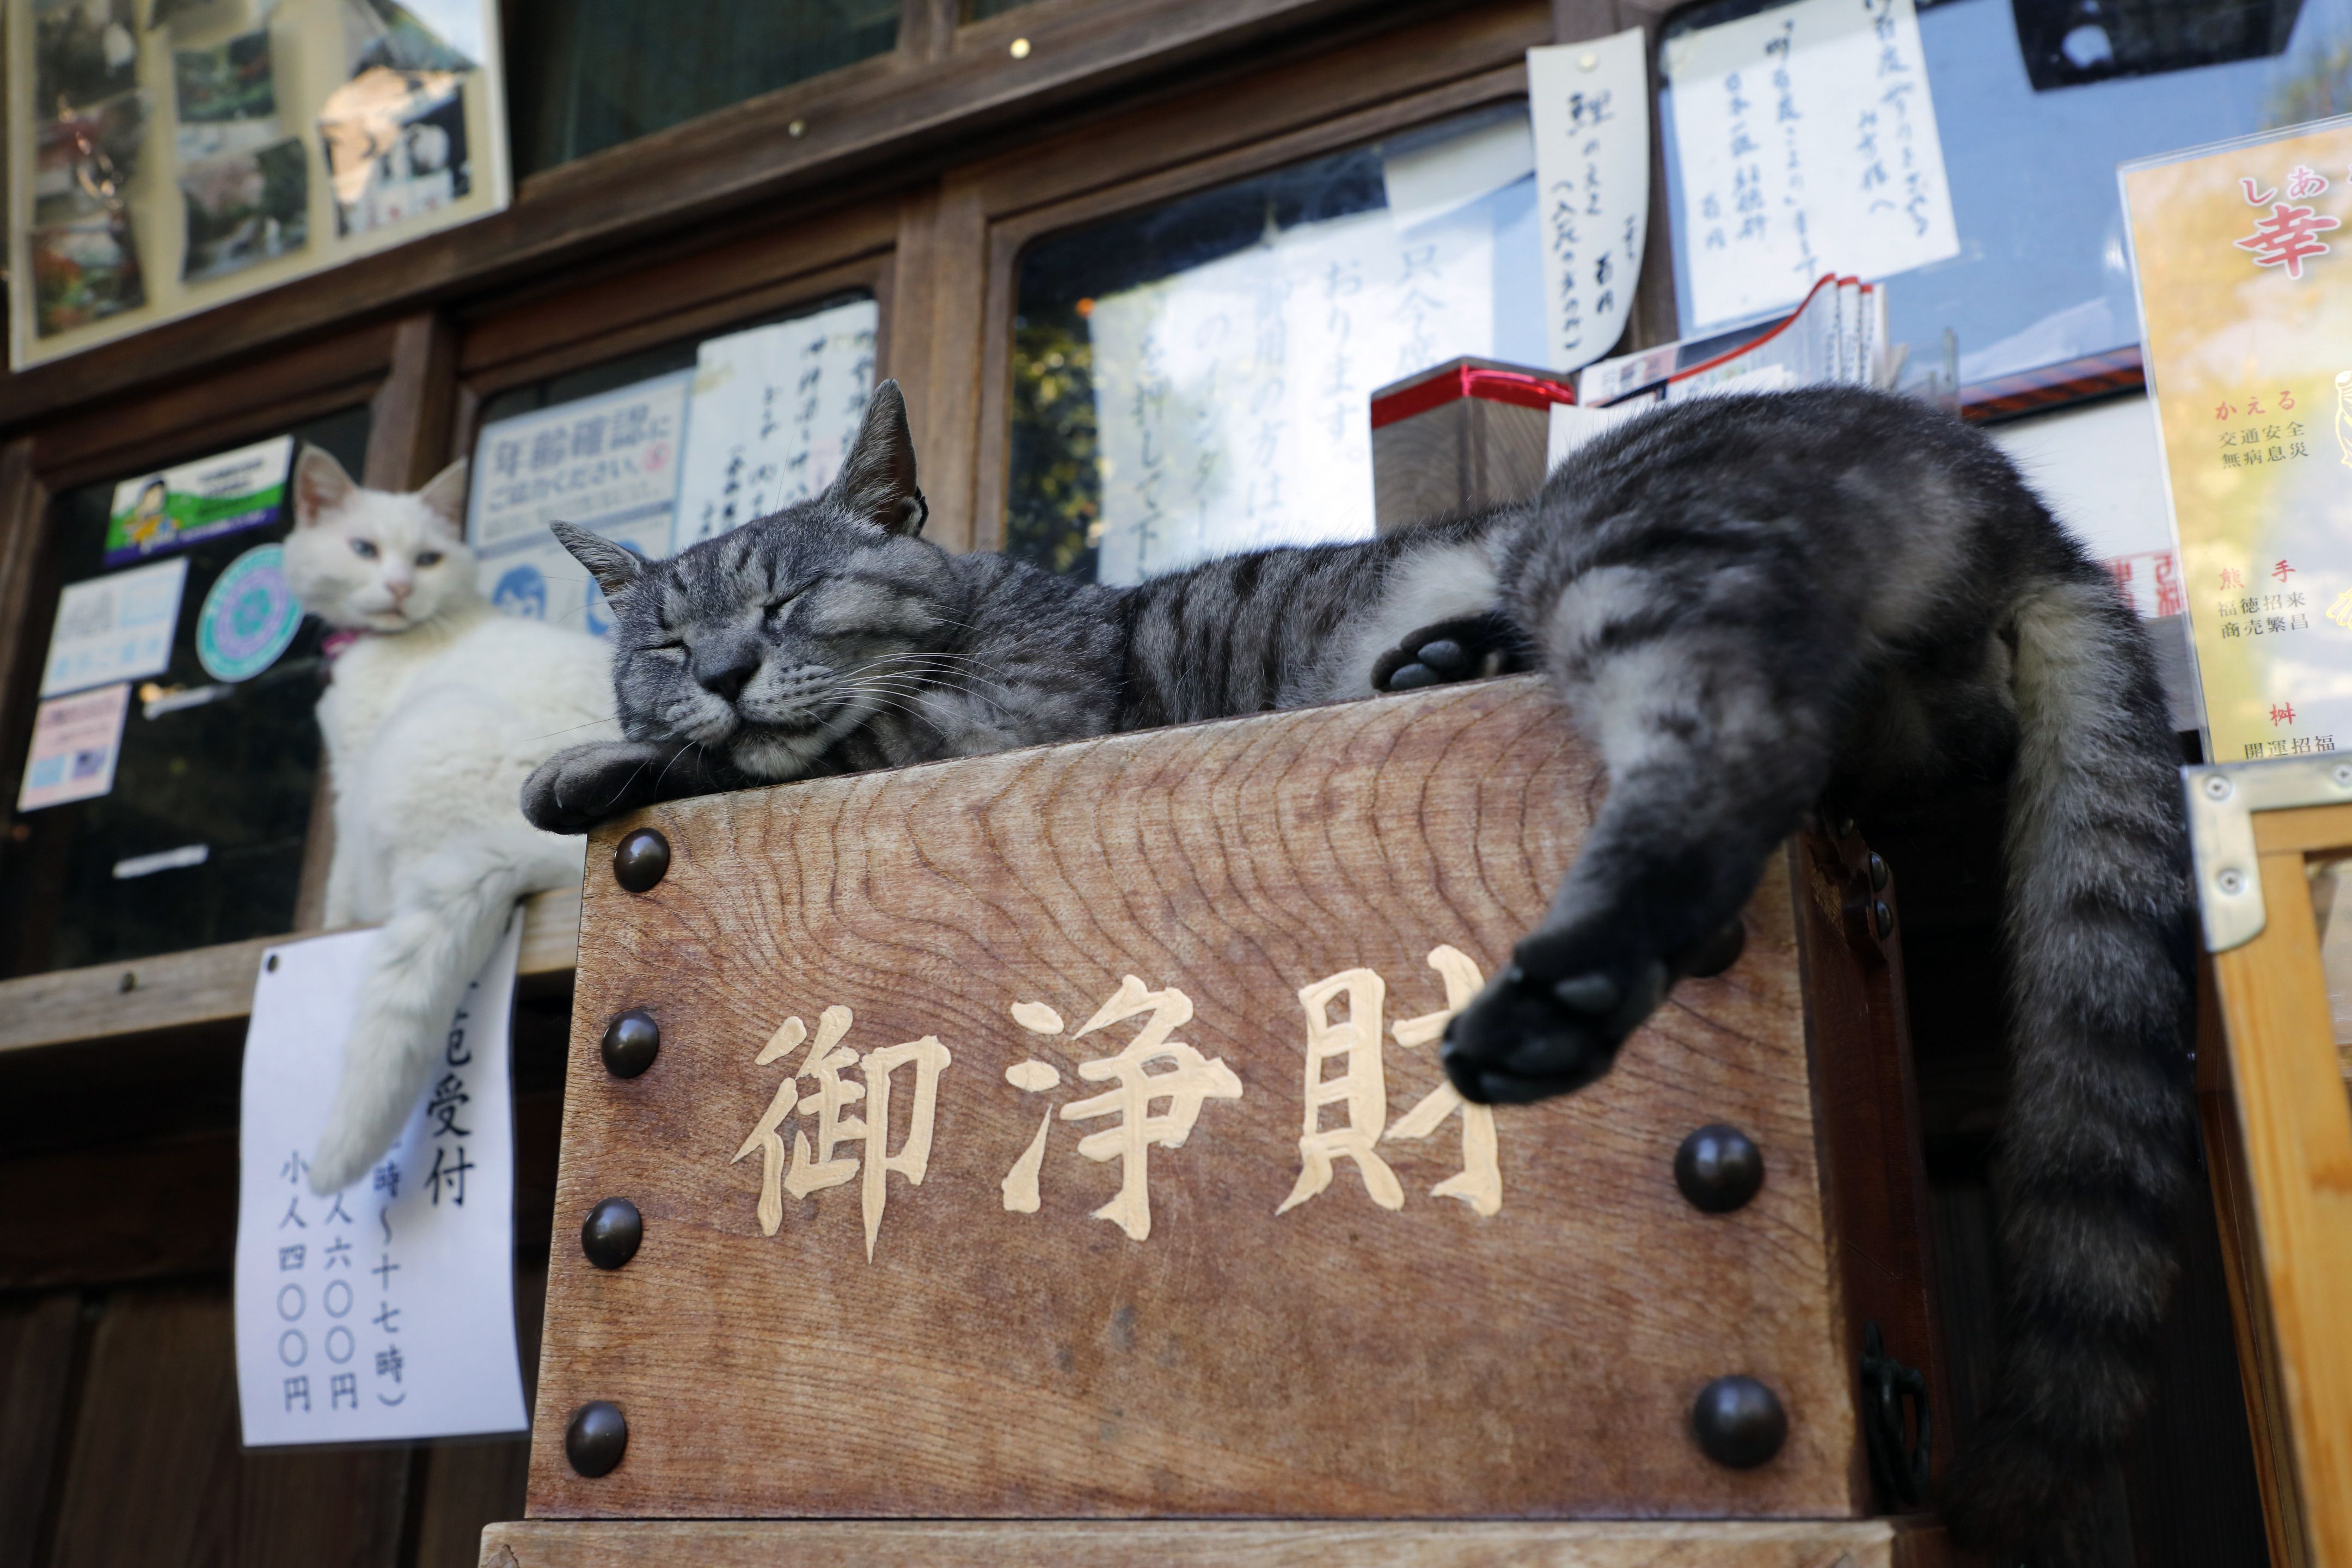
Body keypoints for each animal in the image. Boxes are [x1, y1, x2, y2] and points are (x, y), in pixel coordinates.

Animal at [282, 446, 626, 1194]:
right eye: (363, 549)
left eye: (428, 558)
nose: (400, 585)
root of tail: (567, 857)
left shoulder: (351, 776)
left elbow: (336, 885)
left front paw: (328, 924)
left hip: (423, 738)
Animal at [529, 381, 2182, 1561]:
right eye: (667, 638)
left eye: (787, 602)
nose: (722, 671)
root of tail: (2022, 509)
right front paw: (625, 748)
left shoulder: (990, 720)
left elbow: (797, 750)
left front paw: (593, 764)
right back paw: (1444, 662)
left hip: (1627, 546)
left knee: (1744, 730)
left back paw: (1556, 978)